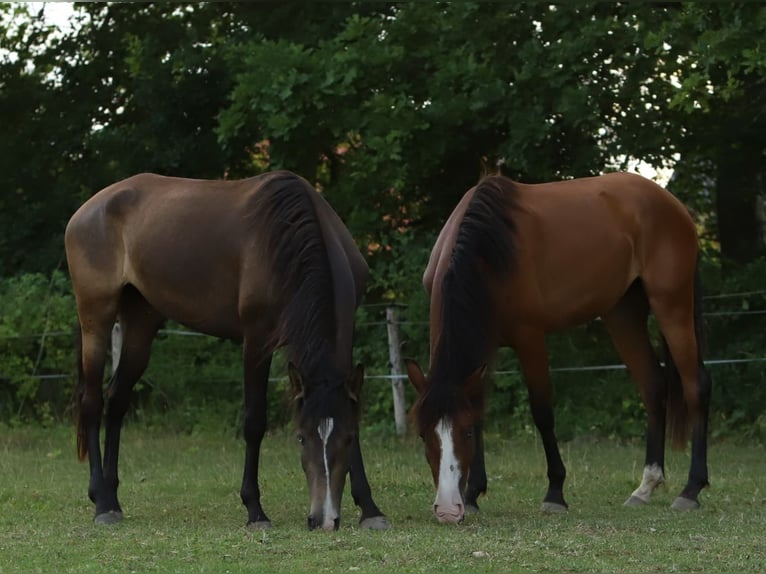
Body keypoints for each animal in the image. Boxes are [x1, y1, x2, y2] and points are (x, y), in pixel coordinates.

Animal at [64, 170, 389, 531]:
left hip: (140, 323)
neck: (289, 241)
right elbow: (254, 422)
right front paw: (255, 510)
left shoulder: (346, 336)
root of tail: (89, 208)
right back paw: (101, 502)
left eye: (345, 439)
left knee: (117, 401)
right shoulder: (257, 340)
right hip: (96, 317)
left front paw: (370, 508)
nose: (324, 520)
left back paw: (112, 496)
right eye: (301, 438)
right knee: (92, 403)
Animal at [406, 172, 711, 524]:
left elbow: (542, 413)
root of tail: (672, 204)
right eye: (423, 435)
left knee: (695, 386)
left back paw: (691, 490)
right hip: (622, 313)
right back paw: (646, 486)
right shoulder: (483, 347)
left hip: (671, 305)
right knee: (653, 386)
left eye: (465, 434)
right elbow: (480, 409)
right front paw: (472, 494)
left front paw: (554, 493)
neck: (488, 251)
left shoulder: (530, 338)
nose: (447, 510)